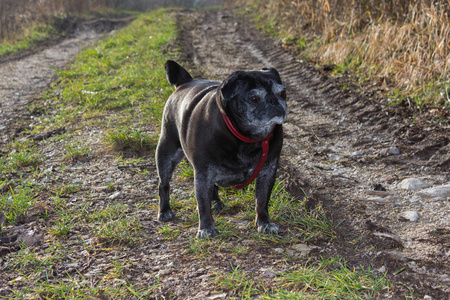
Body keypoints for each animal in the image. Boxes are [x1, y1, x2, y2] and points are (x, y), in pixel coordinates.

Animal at [155, 61, 288, 239]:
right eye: (254, 98)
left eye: (283, 93)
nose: (274, 101)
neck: (247, 137)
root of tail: (185, 82)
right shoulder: (203, 174)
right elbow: (203, 204)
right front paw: (206, 227)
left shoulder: (267, 172)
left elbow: (261, 200)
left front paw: (264, 223)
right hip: (167, 153)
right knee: (164, 184)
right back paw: (165, 211)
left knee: (213, 188)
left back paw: (215, 202)